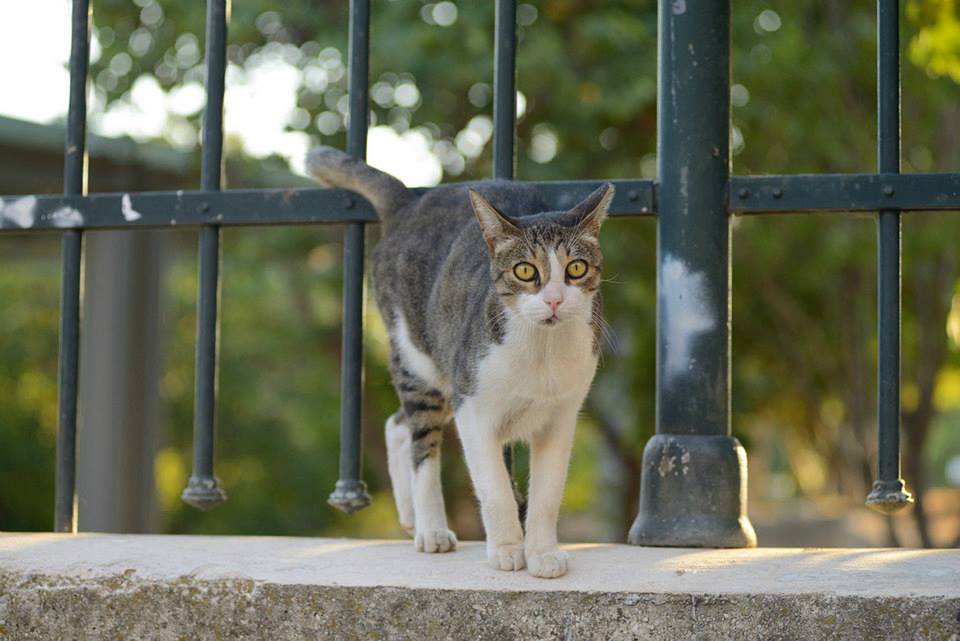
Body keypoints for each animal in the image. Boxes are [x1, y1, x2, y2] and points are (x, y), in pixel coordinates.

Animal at [304, 146, 612, 580]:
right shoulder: (475, 411)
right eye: (525, 271)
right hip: (420, 358)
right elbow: (495, 490)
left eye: (576, 268)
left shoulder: (562, 416)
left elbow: (548, 493)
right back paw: (430, 528)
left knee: (397, 425)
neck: (541, 351)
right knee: (421, 442)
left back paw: (411, 514)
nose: (553, 300)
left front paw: (542, 553)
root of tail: (410, 201)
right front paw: (507, 550)